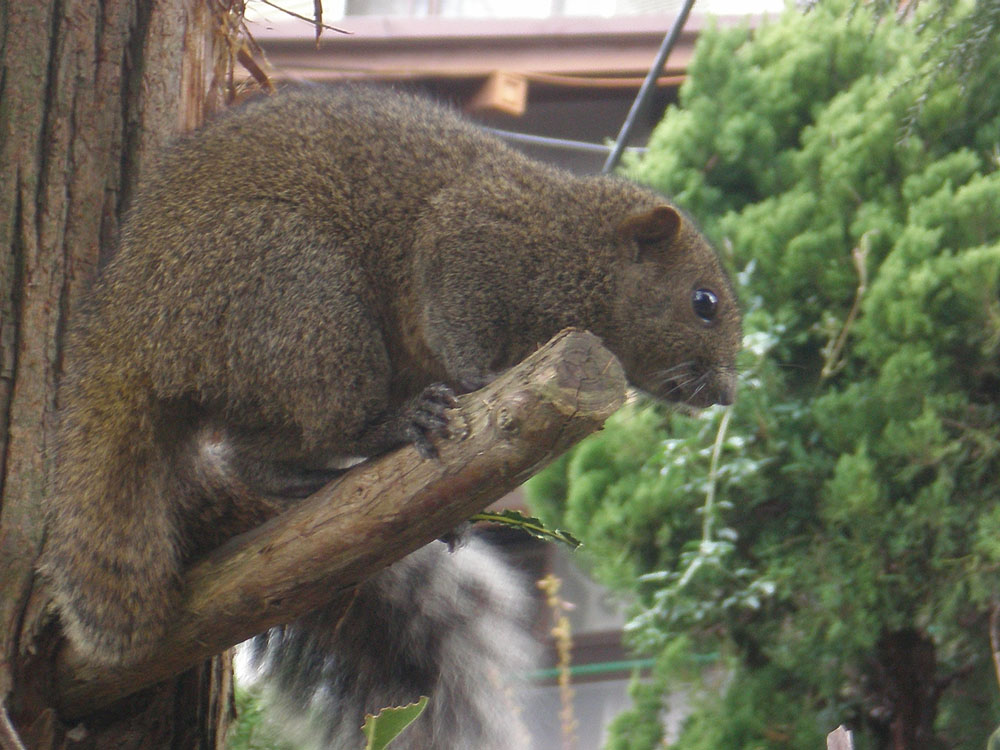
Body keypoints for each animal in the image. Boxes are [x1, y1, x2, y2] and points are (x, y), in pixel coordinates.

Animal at [39, 84, 741, 748]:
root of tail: (131, 318)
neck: (578, 246)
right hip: (302, 297)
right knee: (312, 427)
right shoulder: (472, 240)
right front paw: (481, 382)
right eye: (703, 302)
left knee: (253, 455)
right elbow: (456, 312)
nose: (730, 394)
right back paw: (396, 429)